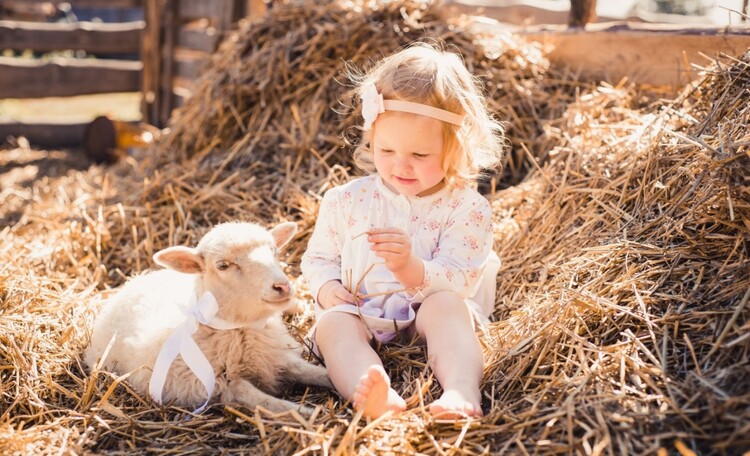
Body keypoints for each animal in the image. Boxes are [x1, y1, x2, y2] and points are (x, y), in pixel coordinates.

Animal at [83, 221, 330, 414]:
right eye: (223, 265)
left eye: (275, 252)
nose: (282, 286)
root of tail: (131, 283)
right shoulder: (218, 385)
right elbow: (264, 401)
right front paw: (311, 414)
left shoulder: (278, 357)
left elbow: (313, 371)